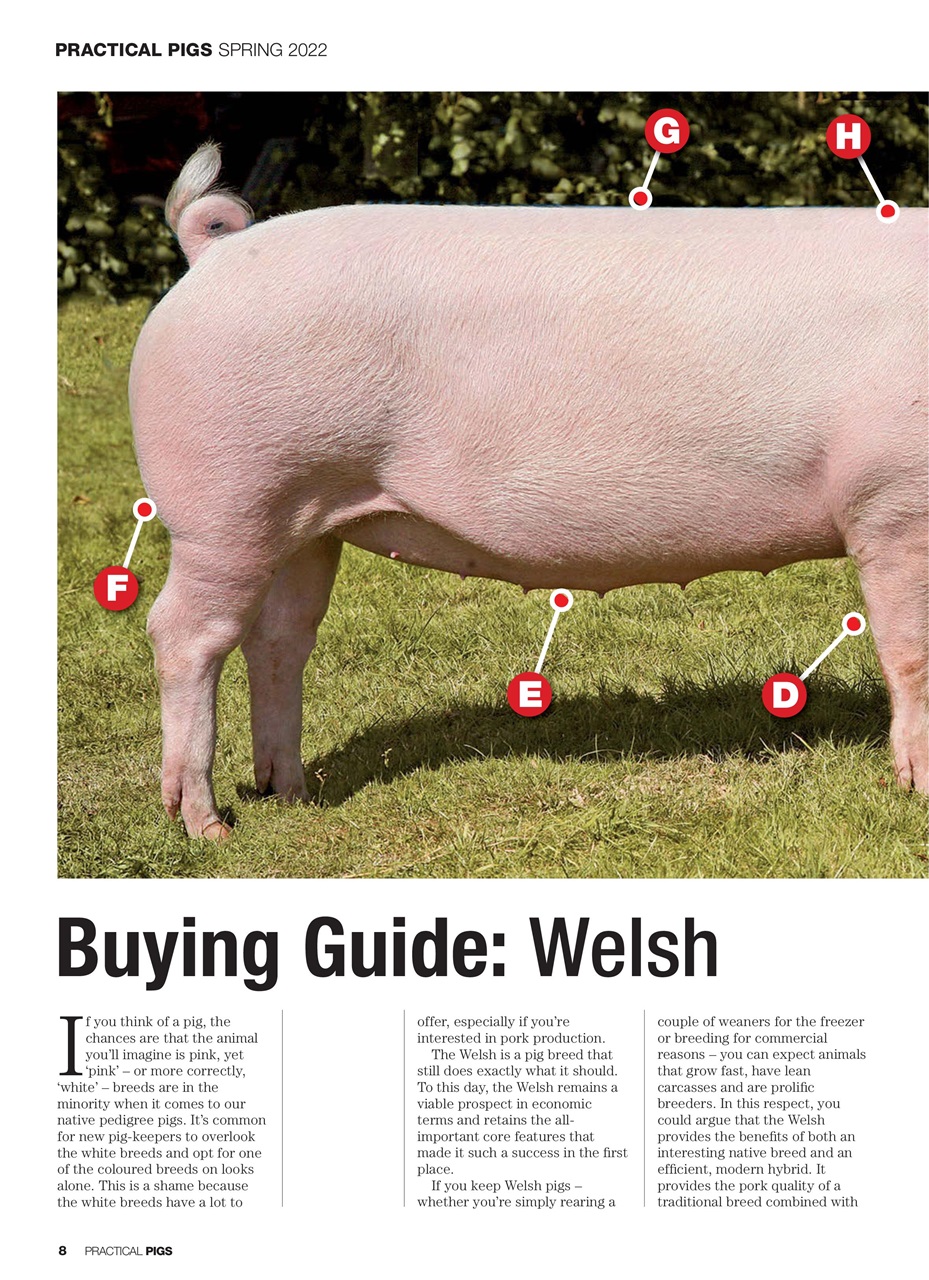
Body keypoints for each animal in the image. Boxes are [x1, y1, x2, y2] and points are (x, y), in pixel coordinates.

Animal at [129, 143, 928, 837]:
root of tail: (212, 254)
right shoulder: (893, 504)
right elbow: (910, 649)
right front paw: (915, 790)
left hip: (303, 519)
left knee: (278, 637)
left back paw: (291, 794)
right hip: (225, 506)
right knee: (185, 634)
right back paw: (207, 827)